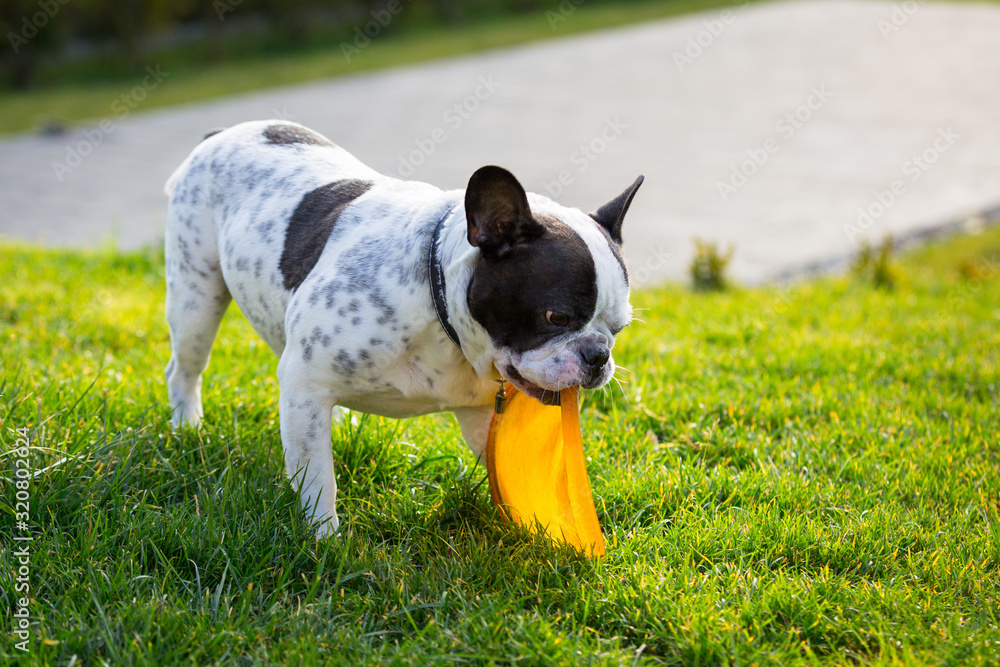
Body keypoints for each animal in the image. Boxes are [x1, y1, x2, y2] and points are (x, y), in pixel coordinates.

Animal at [164, 120, 640, 536]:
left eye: (618, 328)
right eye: (556, 317)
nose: (598, 356)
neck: (437, 300)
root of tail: (222, 133)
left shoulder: (479, 412)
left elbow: (501, 466)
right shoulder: (305, 384)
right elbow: (317, 480)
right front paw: (325, 540)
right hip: (196, 297)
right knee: (184, 369)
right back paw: (188, 428)